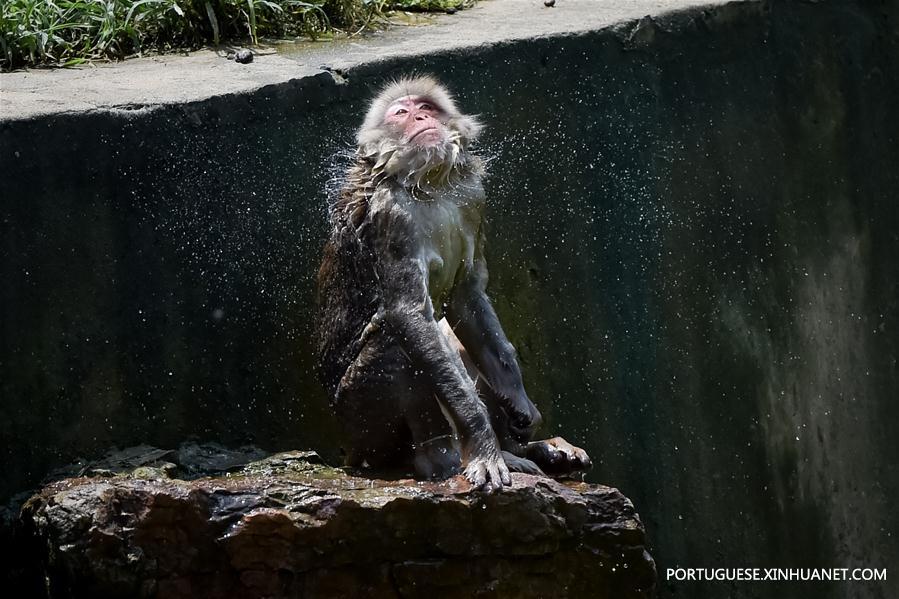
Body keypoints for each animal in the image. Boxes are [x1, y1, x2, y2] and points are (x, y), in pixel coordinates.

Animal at [316, 76, 592, 492]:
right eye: (401, 113)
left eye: (426, 108)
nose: (419, 118)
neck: (429, 185)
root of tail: (347, 451)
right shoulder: (391, 215)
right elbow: (409, 315)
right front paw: (484, 446)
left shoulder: (473, 199)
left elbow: (468, 298)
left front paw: (518, 402)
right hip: (361, 426)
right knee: (396, 338)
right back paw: (441, 459)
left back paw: (527, 451)